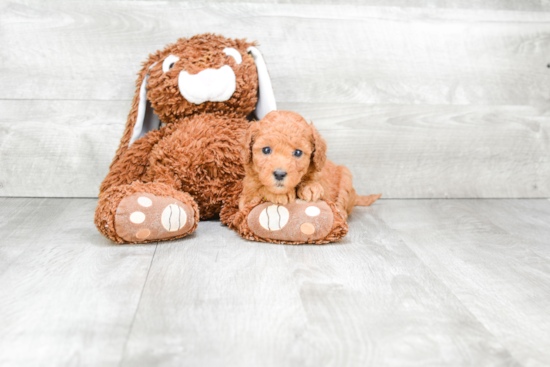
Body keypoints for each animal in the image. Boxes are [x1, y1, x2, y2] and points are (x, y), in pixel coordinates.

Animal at [244, 110, 382, 218]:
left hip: (346, 178)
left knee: (343, 201)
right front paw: (278, 194)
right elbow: (258, 191)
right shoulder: (244, 200)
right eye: (266, 150)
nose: (279, 174)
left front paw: (310, 187)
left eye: (298, 152)